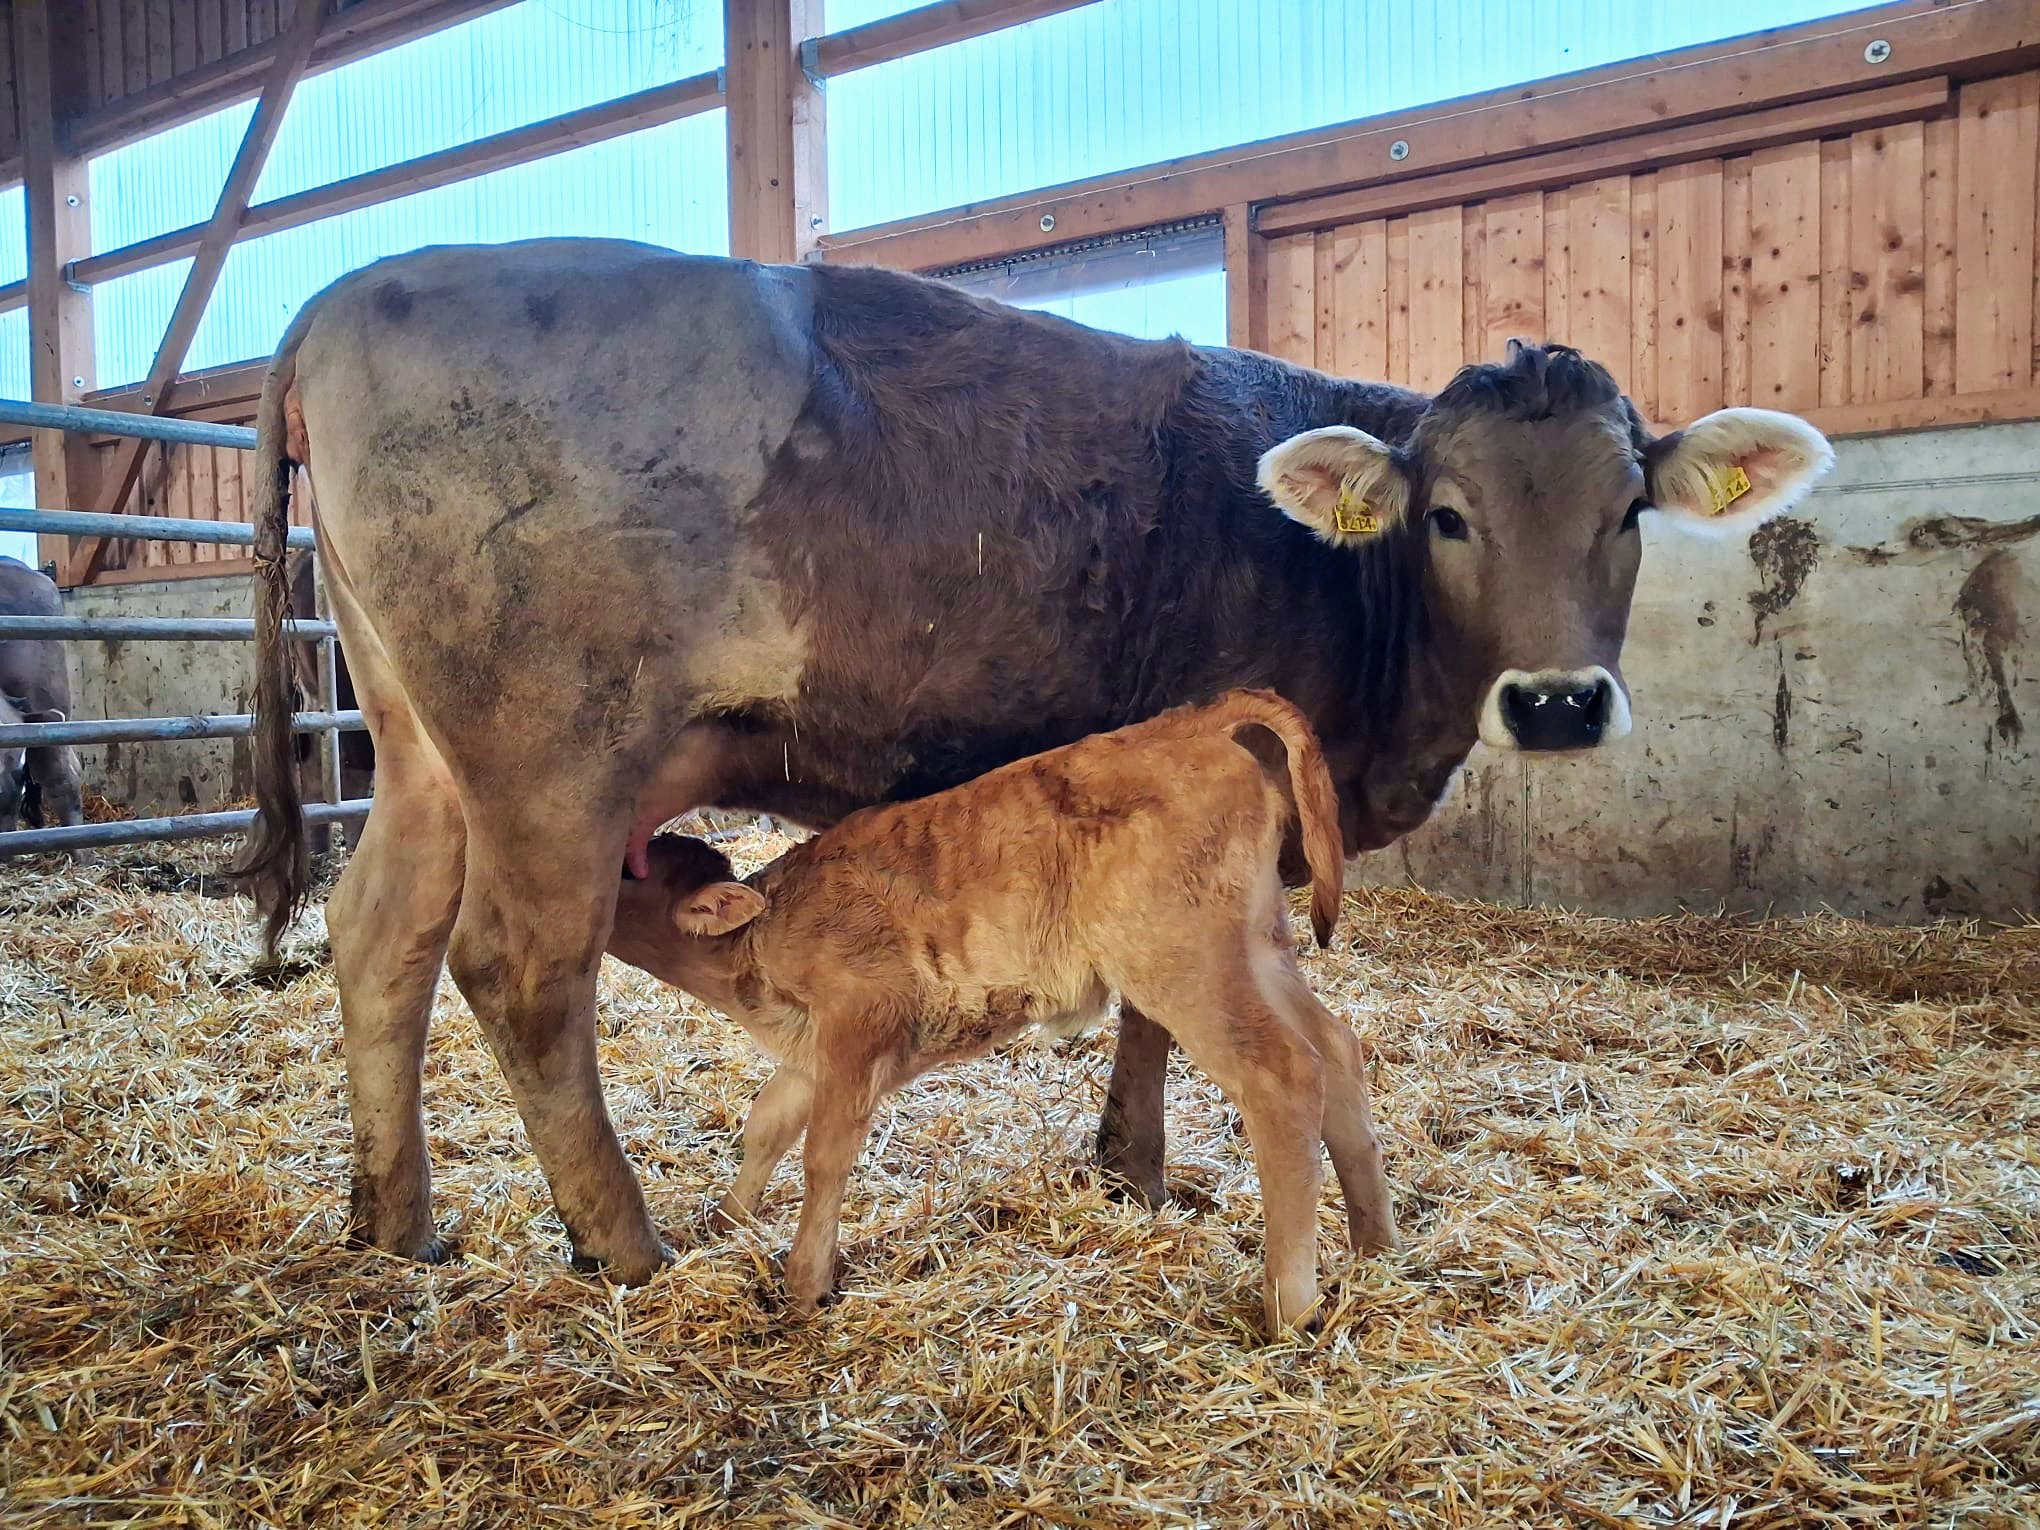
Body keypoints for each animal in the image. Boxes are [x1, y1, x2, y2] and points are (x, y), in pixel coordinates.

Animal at [605, 690, 1387, 1333]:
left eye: (629, 875)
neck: (763, 936)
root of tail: (1192, 722)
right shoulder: (813, 1054)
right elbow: (767, 1125)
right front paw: (725, 1221)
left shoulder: (862, 1023)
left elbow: (825, 1154)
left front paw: (804, 1285)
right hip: (1256, 947)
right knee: (1336, 1049)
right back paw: (1375, 1247)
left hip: (1184, 964)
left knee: (1283, 1076)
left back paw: (1291, 1306)